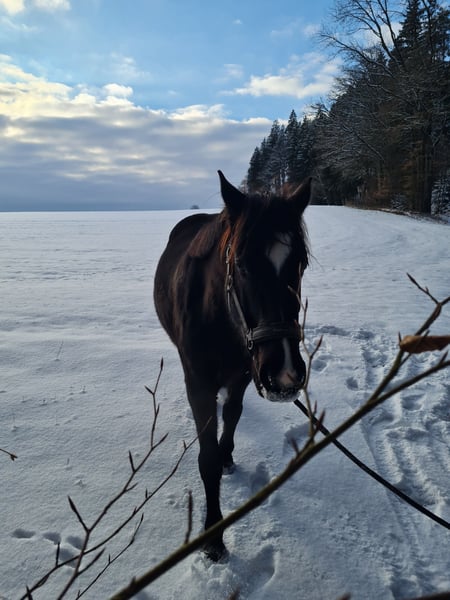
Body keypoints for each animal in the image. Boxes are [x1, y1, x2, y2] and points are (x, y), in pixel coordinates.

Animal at [153, 171, 311, 561]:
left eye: (300, 264)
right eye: (240, 265)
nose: (286, 373)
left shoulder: (243, 374)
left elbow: (233, 414)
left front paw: (227, 455)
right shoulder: (199, 383)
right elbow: (206, 458)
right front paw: (213, 535)